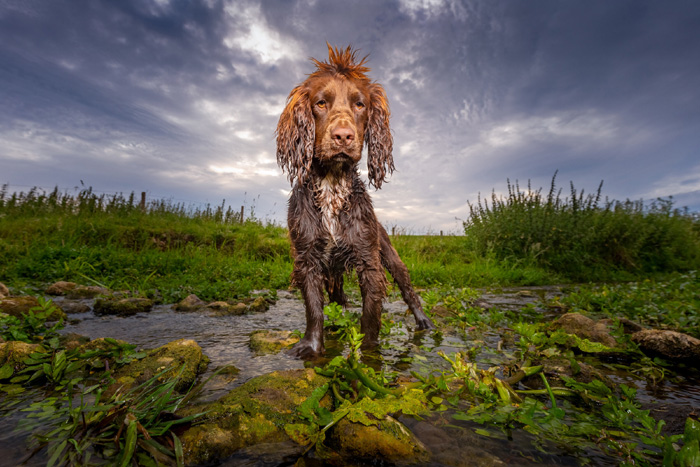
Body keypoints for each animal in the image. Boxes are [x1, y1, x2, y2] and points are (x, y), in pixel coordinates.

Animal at [278, 44, 432, 358]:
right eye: (320, 103)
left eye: (360, 105)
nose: (343, 136)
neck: (332, 187)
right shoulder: (307, 258)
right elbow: (314, 308)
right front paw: (312, 345)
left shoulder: (369, 260)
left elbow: (370, 316)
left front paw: (370, 353)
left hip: (389, 253)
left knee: (409, 289)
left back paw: (424, 321)